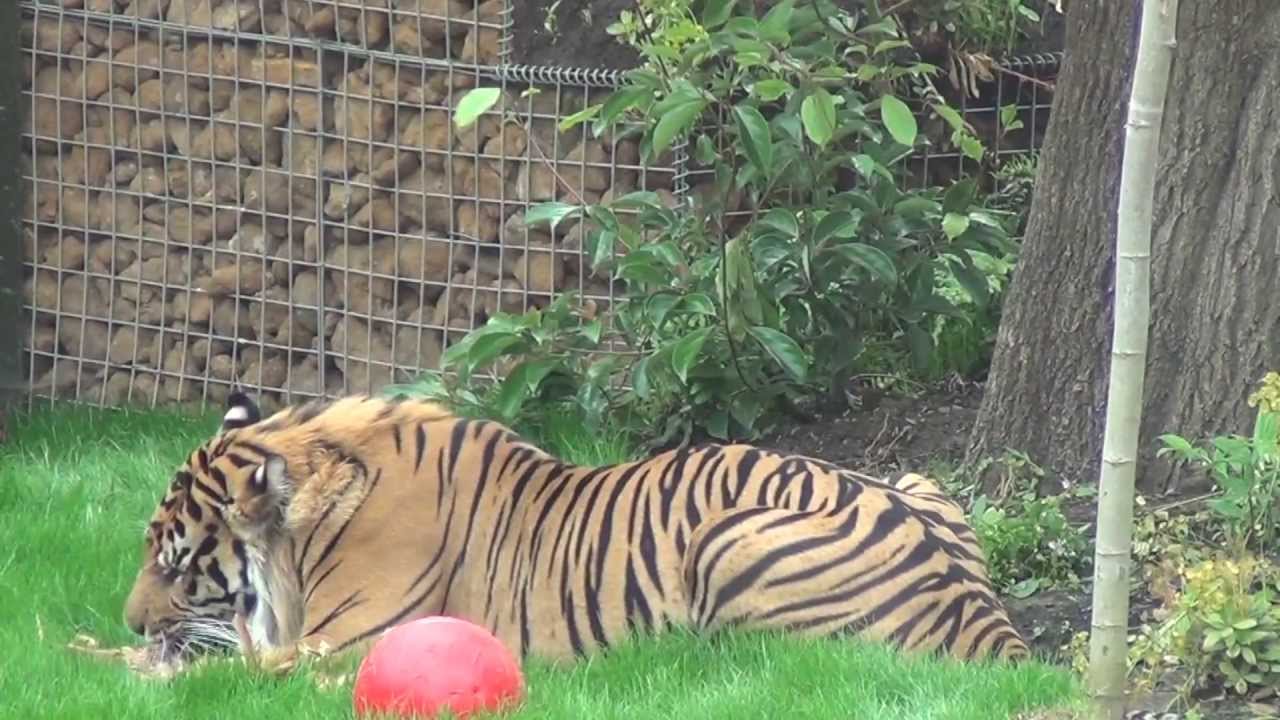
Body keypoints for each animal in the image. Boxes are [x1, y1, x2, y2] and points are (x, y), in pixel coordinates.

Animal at [123, 391, 1030, 673]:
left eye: (177, 565)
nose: (131, 619)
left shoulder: (348, 640)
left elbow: (234, 666)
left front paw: (132, 665)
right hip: (922, 481)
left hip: (728, 539)